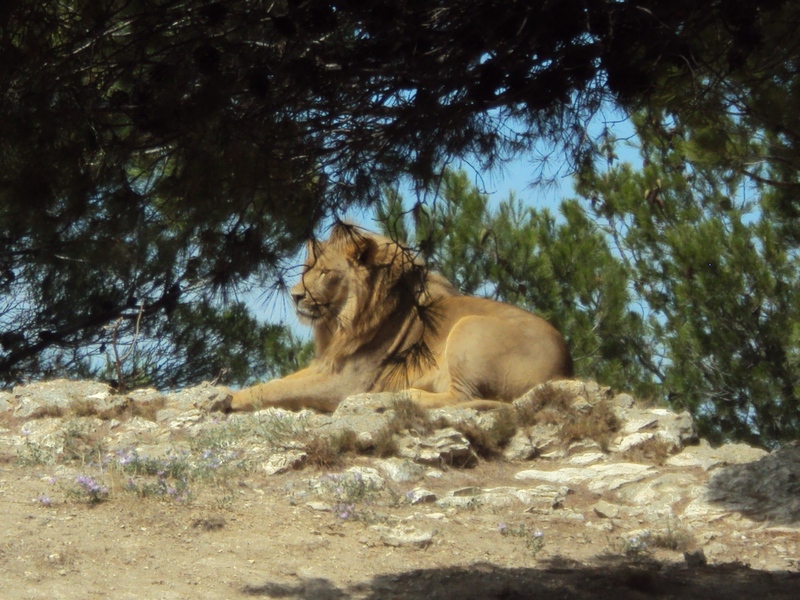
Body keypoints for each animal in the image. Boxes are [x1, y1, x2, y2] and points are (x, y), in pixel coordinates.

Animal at [228, 220, 572, 412]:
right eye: (306, 271)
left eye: (325, 273)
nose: (296, 295)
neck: (340, 324)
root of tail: (565, 370)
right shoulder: (326, 364)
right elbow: (279, 381)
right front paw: (227, 391)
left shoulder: (345, 384)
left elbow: (278, 389)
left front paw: (230, 400)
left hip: (469, 328)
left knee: (463, 397)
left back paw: (407, 396)